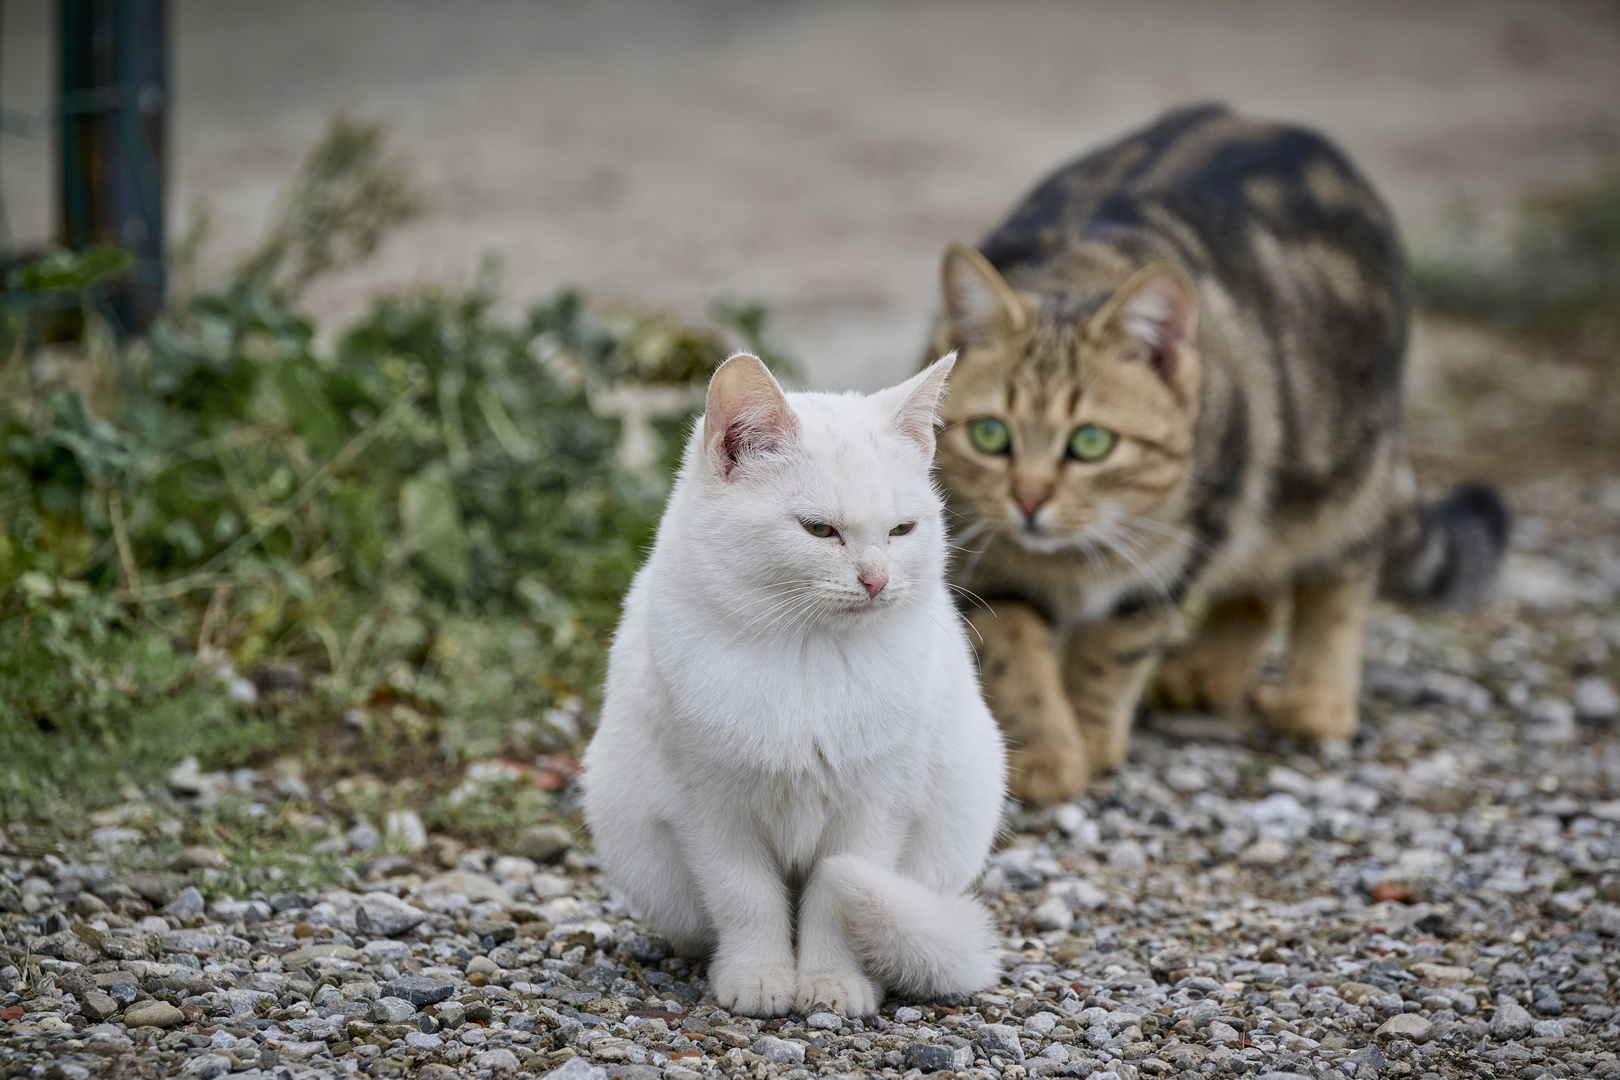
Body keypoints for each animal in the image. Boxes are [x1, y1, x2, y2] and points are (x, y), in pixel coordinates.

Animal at [583, 354, 1004, 1023]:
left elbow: (833, 899)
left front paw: (833, 982)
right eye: (818, 529)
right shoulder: (709, 811)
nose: (877, 580)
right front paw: (759, 976)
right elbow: (747, 898)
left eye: (902, 529)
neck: (810, 656)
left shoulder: (875, 811)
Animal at [933, 105, 1509, 806]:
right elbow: (1013, 654)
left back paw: (1316, 699)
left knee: (1339, 576)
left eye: (1091, 443)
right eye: (991, 435)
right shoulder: (982, 559)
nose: (1029, 500)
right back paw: (1207, 670)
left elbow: (1111, 651)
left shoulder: (1174, 554)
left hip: (1334, 469)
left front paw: (1090, 736)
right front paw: (1042, 750)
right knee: (1260, 589)